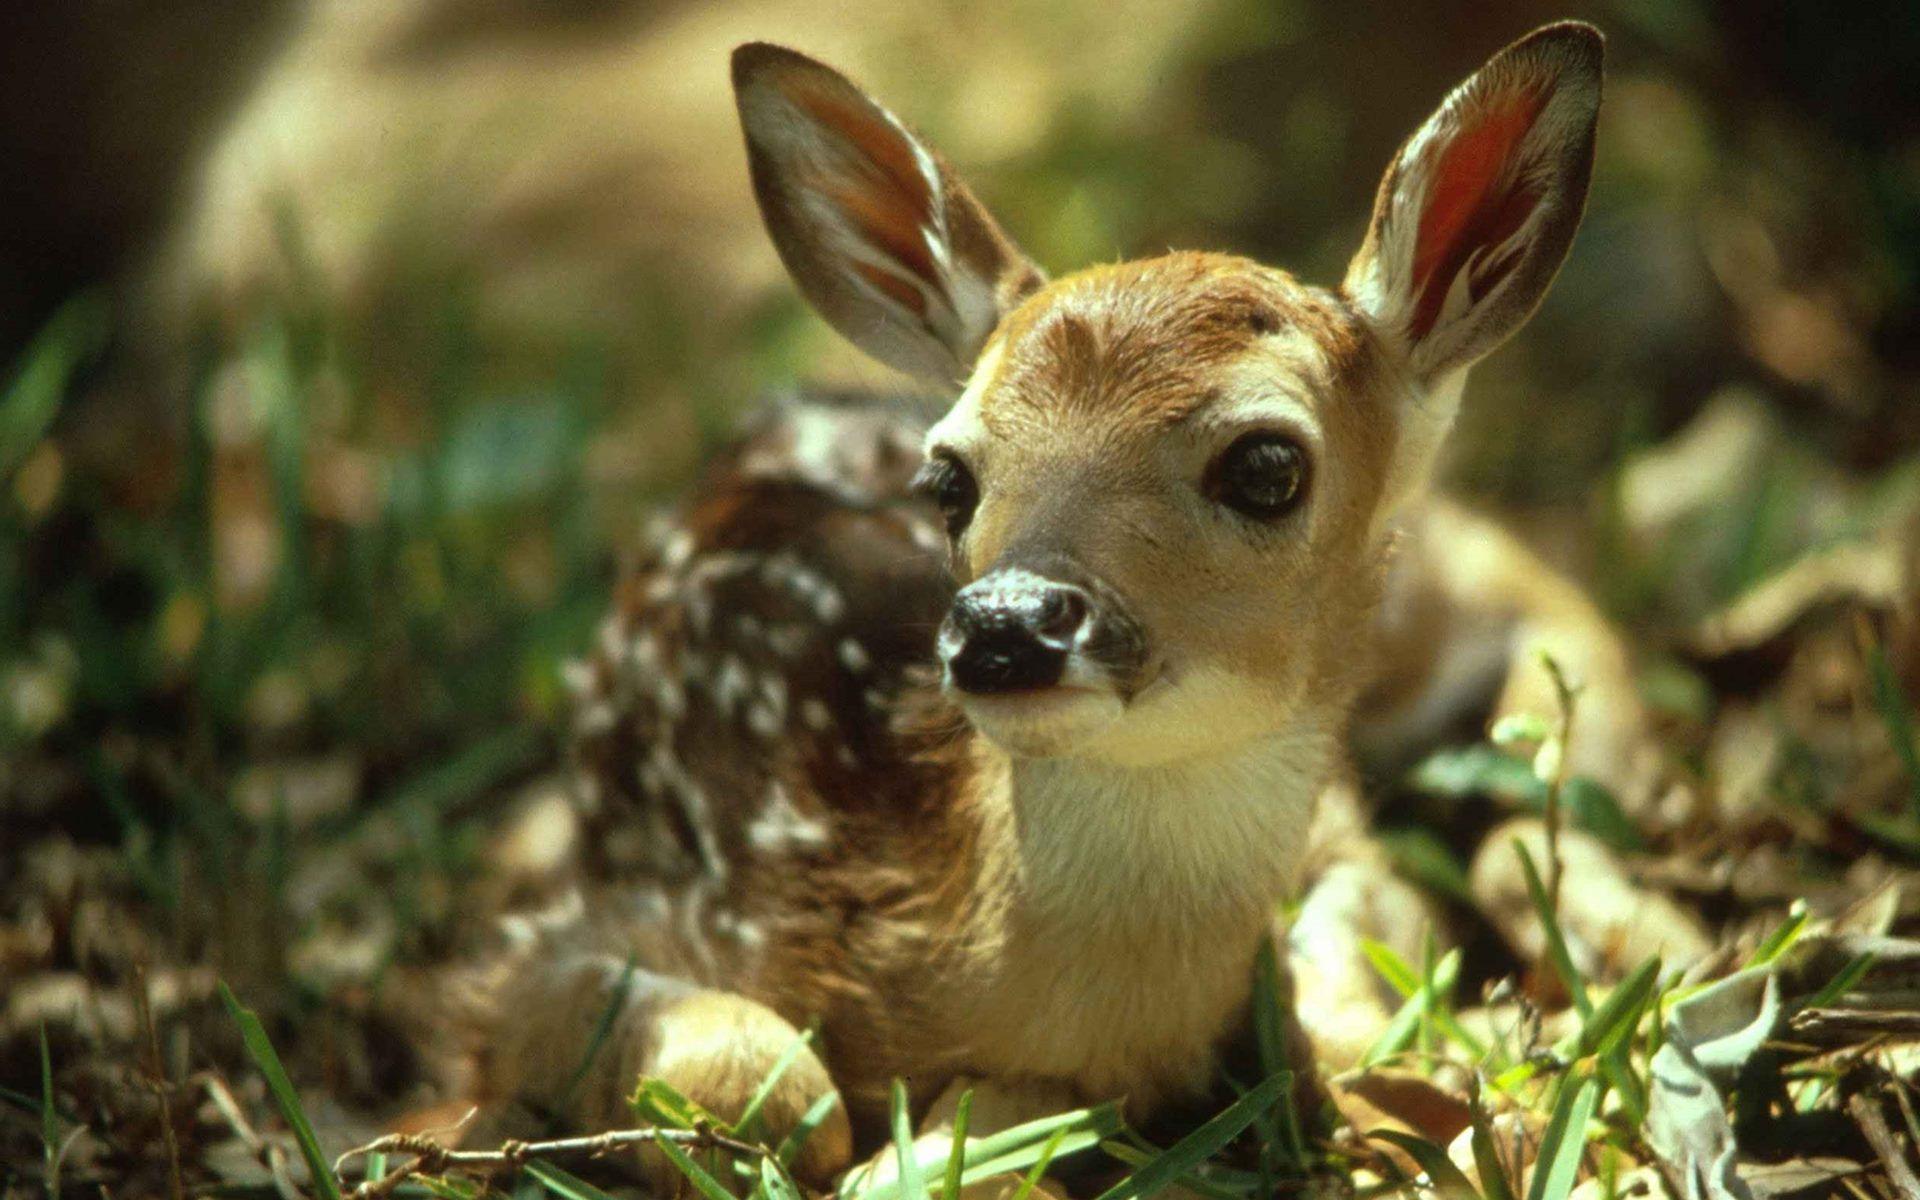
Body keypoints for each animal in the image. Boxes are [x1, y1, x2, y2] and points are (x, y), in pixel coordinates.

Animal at [462, 20, 1639, 1191]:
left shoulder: (1340, 844)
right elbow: (775, 1084)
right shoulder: (543, 940)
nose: (1005, 624)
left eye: (1268, 466)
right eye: (946, 479)